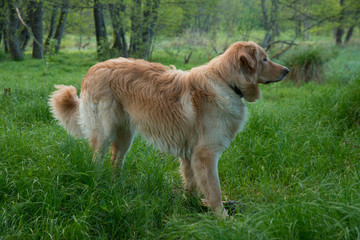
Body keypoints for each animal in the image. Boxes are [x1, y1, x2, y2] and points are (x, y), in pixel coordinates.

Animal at [48, 41, 290, 218]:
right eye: (264, 59)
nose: (287, 70)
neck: (226, 81)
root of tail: (94, 69)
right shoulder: (206, 153)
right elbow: (214, 189)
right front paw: (223, 218)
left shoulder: (191, 154)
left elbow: (192, 182)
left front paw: (191, 204)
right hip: (105, 132)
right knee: (97, 160)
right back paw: (100, 185)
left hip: (125, 135)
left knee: (115, 160)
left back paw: (117, 186)